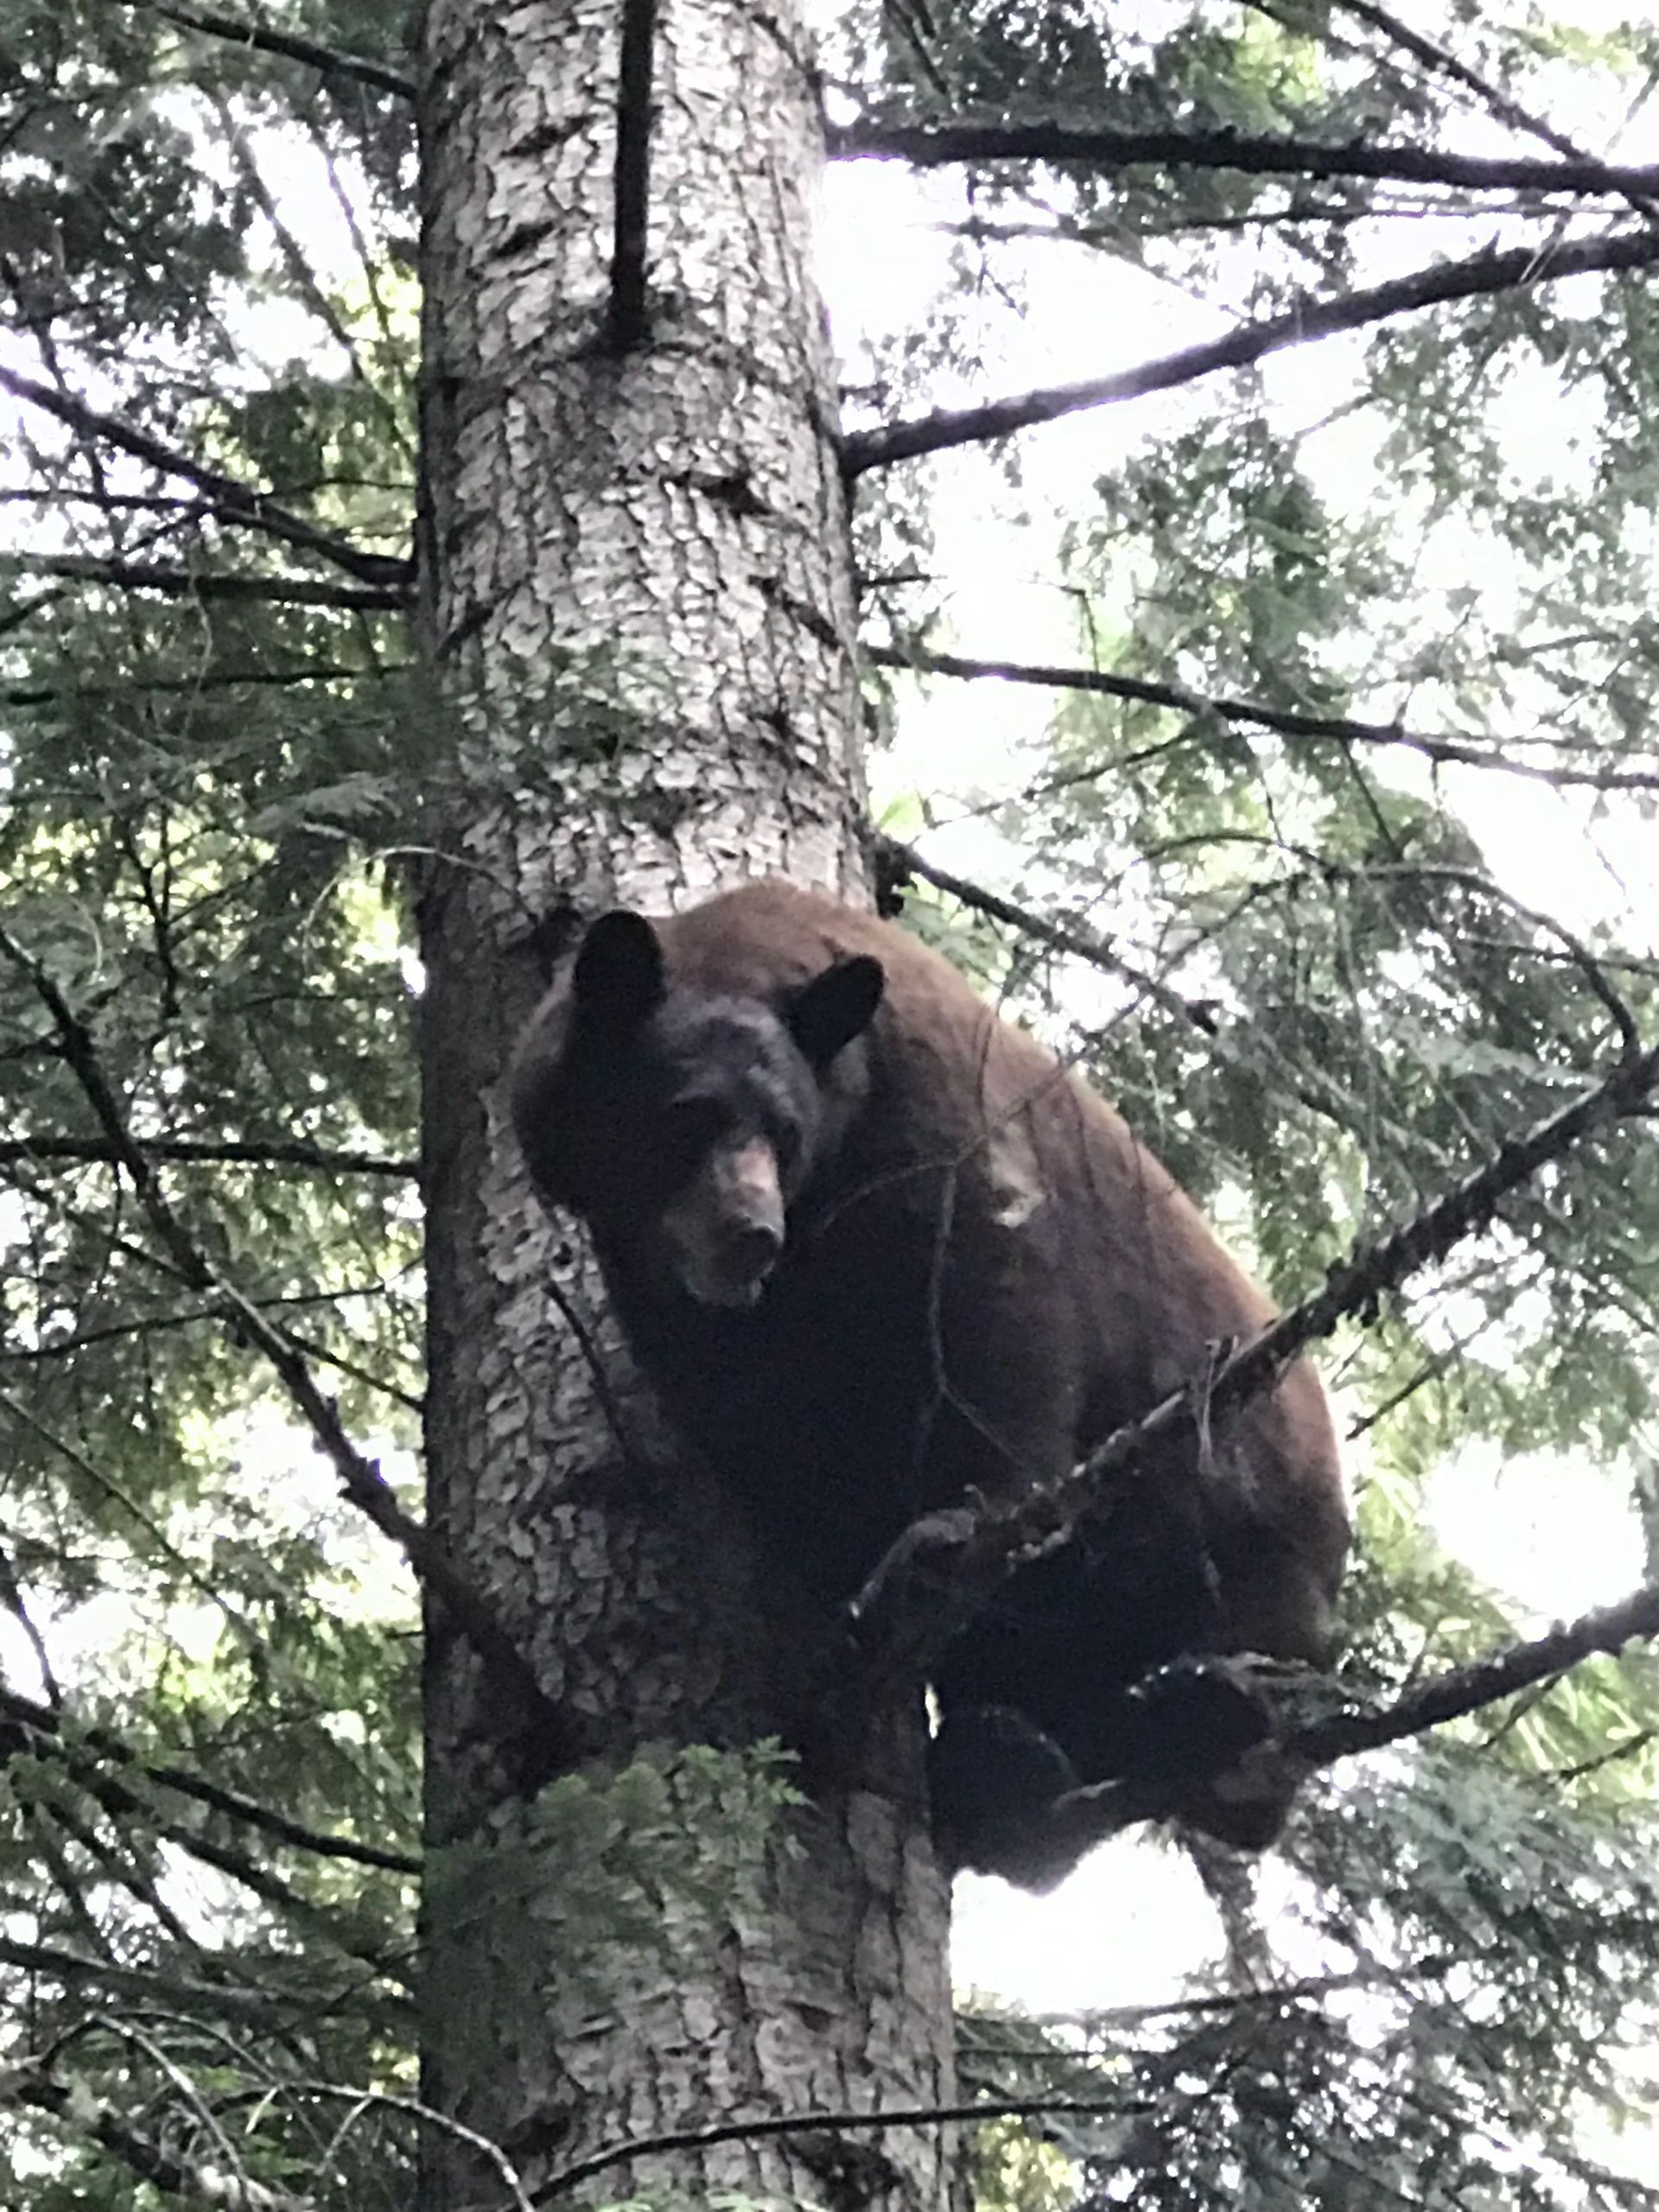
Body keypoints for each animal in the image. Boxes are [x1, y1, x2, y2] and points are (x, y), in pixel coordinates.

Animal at [509, 877, 1349, 1887]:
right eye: (686, 1115)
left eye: (782, 1131)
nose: (751, 1231)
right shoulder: (669, 1287)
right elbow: (755, 1424)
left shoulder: (935, 1134)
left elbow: (996, 1323)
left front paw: (943, 1532)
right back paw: (1012, 1768)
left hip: (1247, 1503)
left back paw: (1198, 1716)